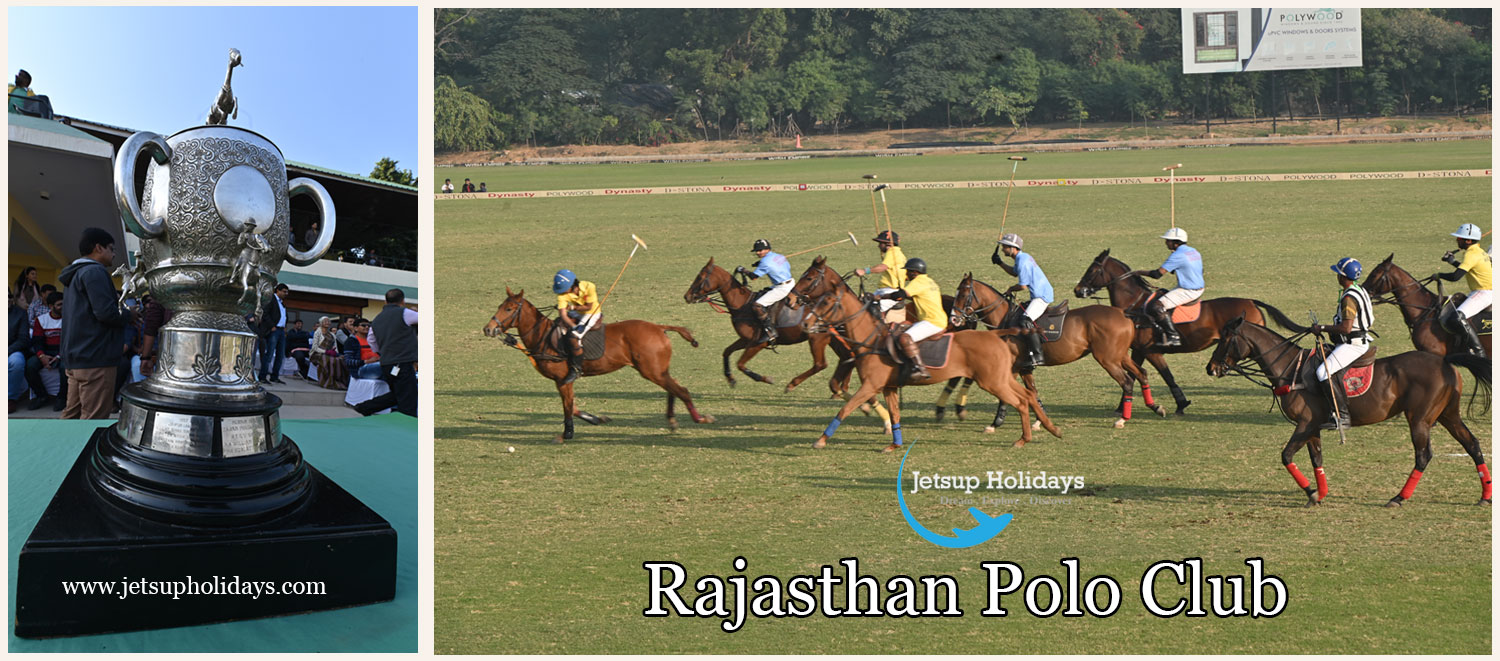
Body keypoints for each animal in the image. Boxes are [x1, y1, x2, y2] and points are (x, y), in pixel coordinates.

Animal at [483, 284, 711, 443]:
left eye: (509, 308)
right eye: (499, 306)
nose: (488, 329)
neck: (544, 336)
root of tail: (659, 327)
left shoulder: (564, 379)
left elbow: (568, 407)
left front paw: (566, 434)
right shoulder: (562, 381)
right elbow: (572, 406)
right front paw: (597, 419)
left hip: (652, 371)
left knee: (681, 390)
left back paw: (701, 419)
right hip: (657, 370)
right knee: (673, 388)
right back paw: (673, 420)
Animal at [792, 256, 1062, 449]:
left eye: (810, 278)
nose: (804, 320)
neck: (871, 336)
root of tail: (995, 334)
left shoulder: (871, 385)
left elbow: (845, 408)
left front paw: (821, 440)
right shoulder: (888, 386)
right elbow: (894, 413)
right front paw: (895, 443)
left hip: (992, 381)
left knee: (1020, 400)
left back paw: (1023, 437)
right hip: (1001, 377)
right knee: (1027, 395)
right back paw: (1050, 428)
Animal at [954, 271, 1164, 431]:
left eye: (963, 294)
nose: (955, 318)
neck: (1006, 319)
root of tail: (1124, 313)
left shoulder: (1013, 368)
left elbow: (1005, 395)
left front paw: (995, 423)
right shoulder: (1025, 368)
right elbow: (1033, 392)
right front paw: (1039, 421)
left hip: (1108, 359)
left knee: (1127, 382)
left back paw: (1122, 419)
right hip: (1120, 356)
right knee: (1141, 373)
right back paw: (1156, 407)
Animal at [1068, 250, 1302, 413]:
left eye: (1092, 270)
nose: (1078, 290)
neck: (1135, 306)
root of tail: (1252, 301)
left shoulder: (1152, 351)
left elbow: (1166, 376)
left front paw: (1180, 404)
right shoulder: (1139, 350)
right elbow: (1135, 375)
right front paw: (1122, 406)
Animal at [1206, 316, 1488, 506]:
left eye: (1226, 340)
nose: (1211, 368)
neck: (1290, 369)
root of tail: (1445, 362)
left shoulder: (1305, 424)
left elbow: (1286, 456)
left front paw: (1311, 492)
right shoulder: (1312, 427)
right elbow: (1316, 460)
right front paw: (1320, 494)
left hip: (1419, 419)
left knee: (1423, 455)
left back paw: (1398, 498)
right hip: (1448, 415)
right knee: (1472, 444)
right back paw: (1486, 495)